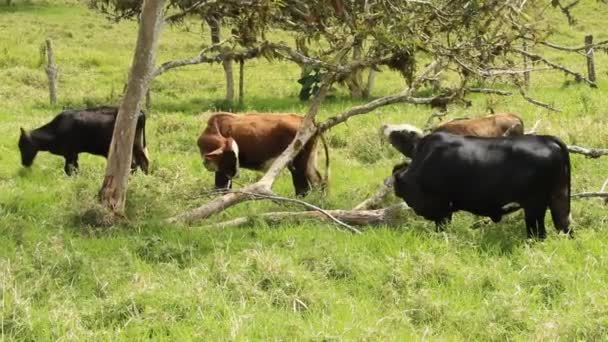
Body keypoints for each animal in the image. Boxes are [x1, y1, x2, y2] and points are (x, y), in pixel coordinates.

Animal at [18, 106, 149, 176]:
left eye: (23, 145)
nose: (24, 163)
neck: (55, 131)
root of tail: (141, 112)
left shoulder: (70, 154)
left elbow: (69, 170)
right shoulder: (74, 154)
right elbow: (74, 169)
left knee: (137, 164)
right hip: (137, 145)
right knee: (141, 162)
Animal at [196, 112, 328, 196]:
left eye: (232, 154)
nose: (236, 173)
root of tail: (303, 119)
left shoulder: (222, 171)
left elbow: (221, 187)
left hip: (297, 163)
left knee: (303, 187)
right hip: (309, 160)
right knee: (318, 181)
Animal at [392, 132, 572, 239]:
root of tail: (547, 139)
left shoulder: (442, 209)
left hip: (534, 205)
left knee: (537, 233)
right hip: (557, 197)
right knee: (563, 226)